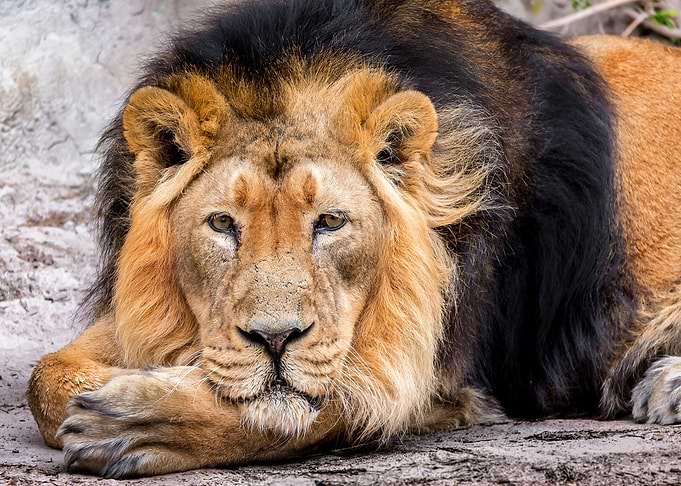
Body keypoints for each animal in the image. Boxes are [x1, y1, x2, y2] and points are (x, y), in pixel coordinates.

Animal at [26, 0, 681, 478]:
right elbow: (44, 380)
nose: (275, 339)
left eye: (331, 222)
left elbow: (330, 406)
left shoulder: (434, 366)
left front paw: (131, 426)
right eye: (223, 225)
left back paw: (663, 386)